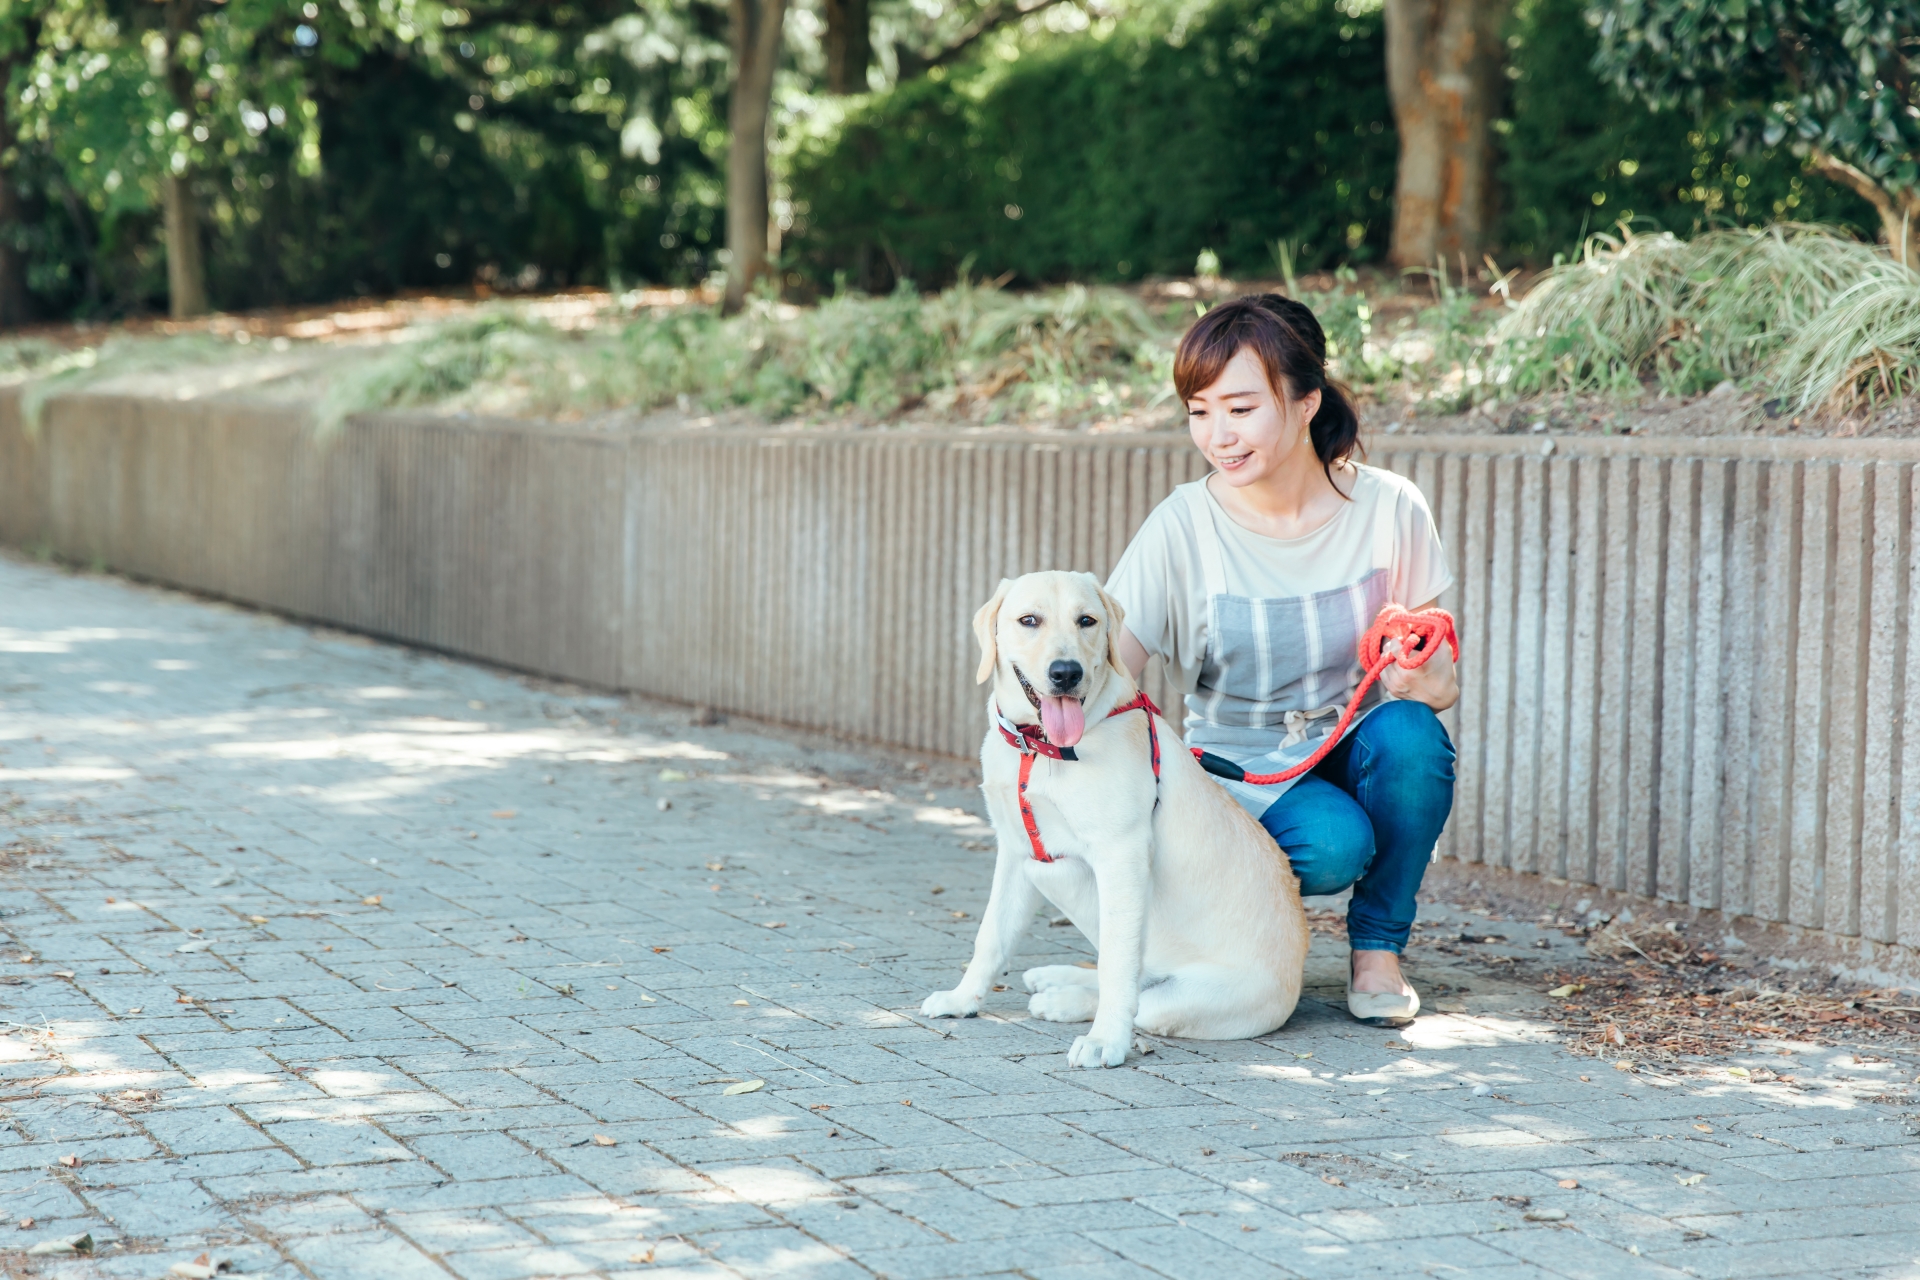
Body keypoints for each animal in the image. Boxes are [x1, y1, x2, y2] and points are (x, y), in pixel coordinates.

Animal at [921, 575, 1313, 1066]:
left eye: (1086, 620)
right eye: (1029, 620)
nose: (1066, 673)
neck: (1041, 748)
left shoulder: (1121, 856)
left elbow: (1117, 965)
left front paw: (1105, 1040)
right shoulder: (1015, 851)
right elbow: (991, 935)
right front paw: (962, 1000)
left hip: (1203, 994)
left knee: (1141, 994)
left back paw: (1065, 1001)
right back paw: (1058, 979)